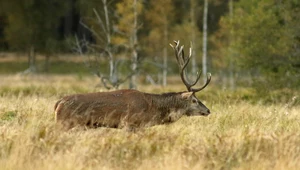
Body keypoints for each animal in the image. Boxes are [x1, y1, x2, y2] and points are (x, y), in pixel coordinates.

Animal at [55, 40, 212, 129]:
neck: (152, 111)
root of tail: (58, 103)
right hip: (65, 124)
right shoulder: (129, 123)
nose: (208, 110)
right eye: (194, 100)